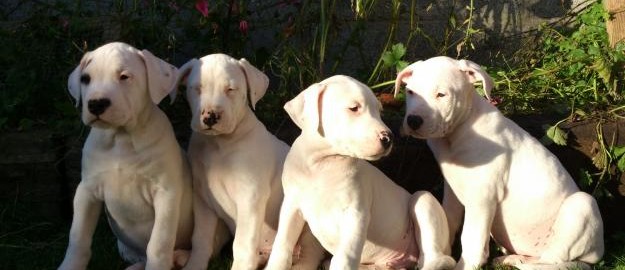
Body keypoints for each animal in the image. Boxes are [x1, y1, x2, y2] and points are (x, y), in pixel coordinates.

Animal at [59, 42, 195, 270]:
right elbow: (78, 238)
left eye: (124, 77)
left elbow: (158, 244)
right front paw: (69, 265)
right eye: (85, 79)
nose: (96, 104)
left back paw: (181, 257)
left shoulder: (166, 194)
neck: (121, 139)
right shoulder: (86, 191)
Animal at [174, 53, 322, 270]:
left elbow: (242, 245)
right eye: (197, 88)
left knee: (306, 258)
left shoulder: (250, 199)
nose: (210, 116)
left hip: (308, 230)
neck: (219, 145)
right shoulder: (203, 200)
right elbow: (201, 239)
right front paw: (194, 265)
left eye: (230, 90)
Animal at [266, 75, 456, 270]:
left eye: (379, 111)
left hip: (423, 201)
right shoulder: (292, 207)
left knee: (435, 258)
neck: (322, 165)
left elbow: (345, 257)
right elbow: (283, 244)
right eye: (354, 108)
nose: (389, 138)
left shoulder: (355, 215)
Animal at [394, 56, 604, 268]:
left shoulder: (482, 197)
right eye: (410, 92)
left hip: (581, 205)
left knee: (552, 260)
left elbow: (471, 239)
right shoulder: (452, 191)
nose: (413, 121)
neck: (458, 133)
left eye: (441, 95)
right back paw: (512, 258)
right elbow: (448, 220)